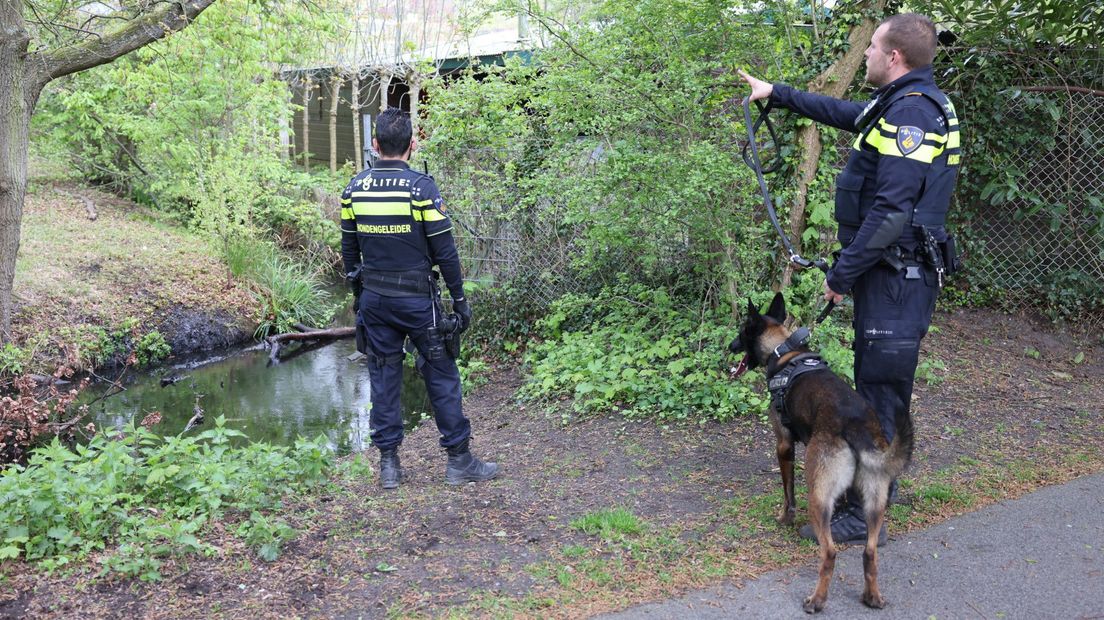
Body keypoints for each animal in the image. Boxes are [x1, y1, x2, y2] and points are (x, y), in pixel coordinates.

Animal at [728, 291, 909, 608]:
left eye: (741, 332)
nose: (729, 346)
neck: (782, 352)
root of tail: (856, 425)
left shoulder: (784, 446)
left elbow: (788, 493)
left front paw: (784, 519)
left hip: (817, 495)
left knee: (830, 552)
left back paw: (817, 599)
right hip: (875, 501)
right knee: (870, 552)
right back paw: (871, 596)